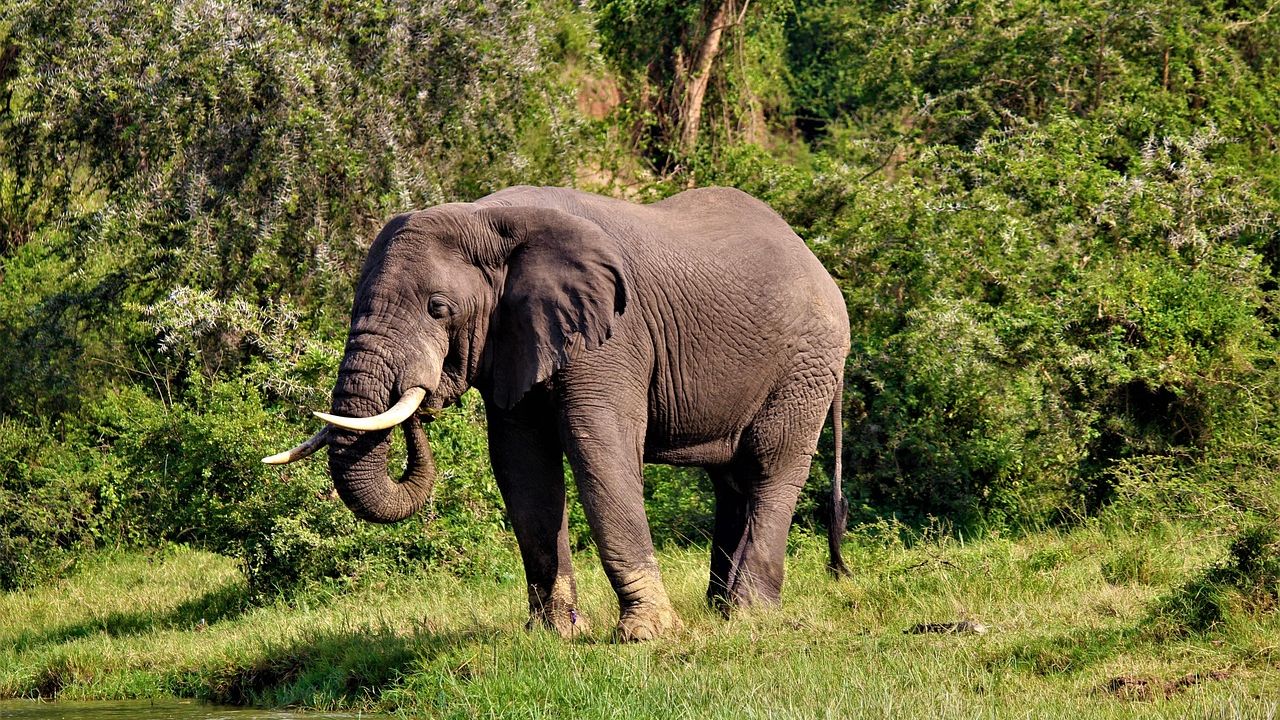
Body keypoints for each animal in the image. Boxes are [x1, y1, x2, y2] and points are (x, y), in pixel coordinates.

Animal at [264, 185, 851, 641]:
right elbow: (522, 467)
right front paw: (555, 635)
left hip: (807, 364)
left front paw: (646, 636)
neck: (488, 219)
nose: (419, 408)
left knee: (771, 469)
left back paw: (748, 617)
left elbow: (600, 451)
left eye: (438, 309)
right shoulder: (514, 338)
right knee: (729, 481)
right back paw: (719, 611)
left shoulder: (614, 335)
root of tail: (816, 260)